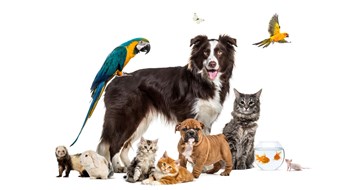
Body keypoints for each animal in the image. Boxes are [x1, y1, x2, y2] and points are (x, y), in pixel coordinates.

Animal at [97, 34, 238, 172]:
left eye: (220, 52)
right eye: (205, 52)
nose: (212, 64)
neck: (203, 81)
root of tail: (113, 81)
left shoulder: (206, 119)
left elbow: (204, 143)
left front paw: (206, 167)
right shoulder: (190, 115)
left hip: (141, 122)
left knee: (125, 147)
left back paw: (131, 166)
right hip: (127, 118)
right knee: (114, 144)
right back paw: (118, 167)